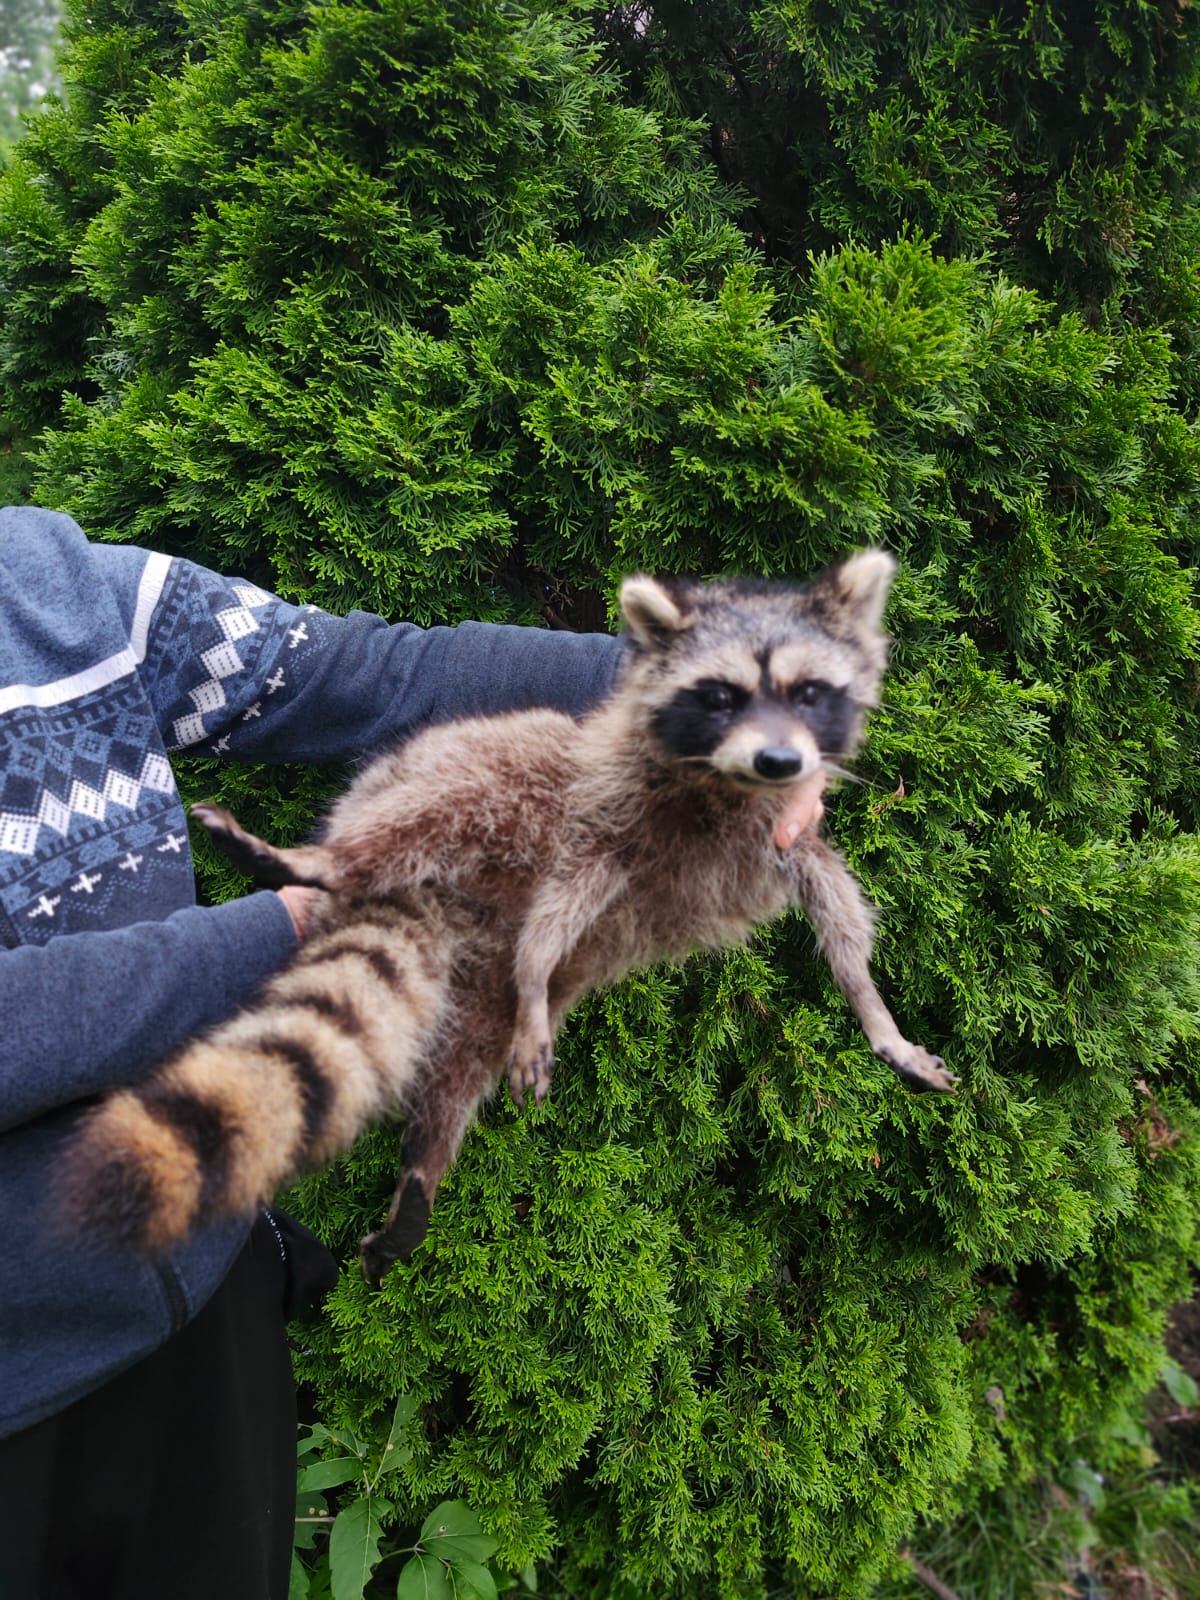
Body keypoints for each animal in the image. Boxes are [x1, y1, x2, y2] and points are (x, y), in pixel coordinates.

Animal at [60, 550, 953, 1283]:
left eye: (809, 692)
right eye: (721, 695)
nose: (778, 759)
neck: (727, 790)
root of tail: (444, 907)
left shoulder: (789, 840)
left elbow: (840, 916)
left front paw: (875, 1014)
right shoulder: (605, 814)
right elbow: (564, 897)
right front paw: (535, 970)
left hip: (474, 1002)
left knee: (461, 1071)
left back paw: (423, 1166)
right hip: (452, 774)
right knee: (460, 796)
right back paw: (335, 864)